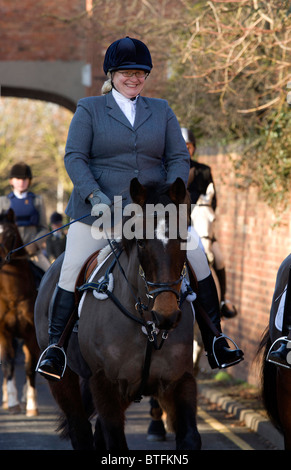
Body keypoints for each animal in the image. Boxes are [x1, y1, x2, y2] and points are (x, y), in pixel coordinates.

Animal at [34, 177, 203, 452]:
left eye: (183, 240)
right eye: (141, 242)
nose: (166, 315)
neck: (146, 325)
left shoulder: (180, 380)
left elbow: (190, 437)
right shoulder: (105, 386)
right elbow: (114, 441)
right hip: (64, 380)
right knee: (80, 429)